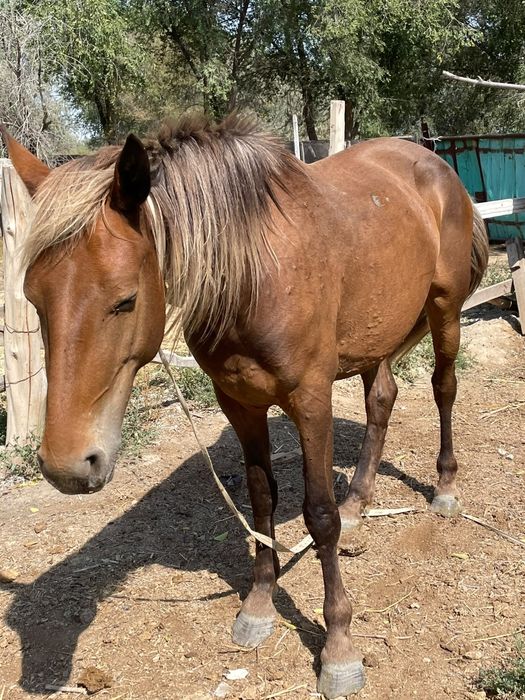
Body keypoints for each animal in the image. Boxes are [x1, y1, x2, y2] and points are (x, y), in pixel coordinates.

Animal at [1, 114, 488, 698]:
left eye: (125, 300)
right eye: (33, 298)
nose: (67, 467)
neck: (254, 275)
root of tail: (434, 162)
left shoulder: (311, 400)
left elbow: (318, 515)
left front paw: (338, 648)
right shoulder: (238, 401)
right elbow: (260, 500)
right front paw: (259, 605)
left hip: (444, 309)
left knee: (443, 387)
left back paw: (444, 487)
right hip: (375, 332)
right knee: (381, 401)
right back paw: (359, 502)